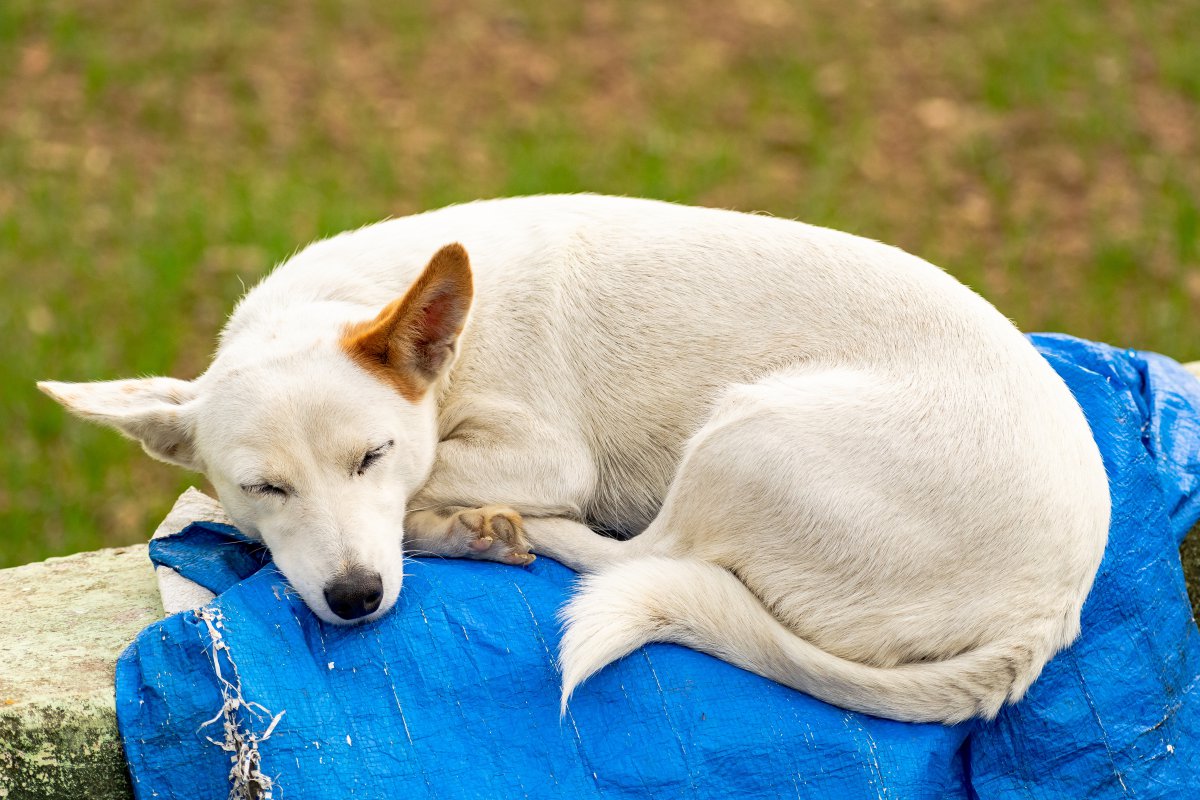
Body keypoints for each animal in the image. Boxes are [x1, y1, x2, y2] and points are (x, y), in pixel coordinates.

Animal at [37, 195, 1104, 724]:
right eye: (265, 487)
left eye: (375, 455)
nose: (354, 599)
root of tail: (1050, 613)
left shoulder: (543, 457)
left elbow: (441, 480)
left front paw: (445, 517)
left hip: (747, 432)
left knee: (640, 556)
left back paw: (484, 533)